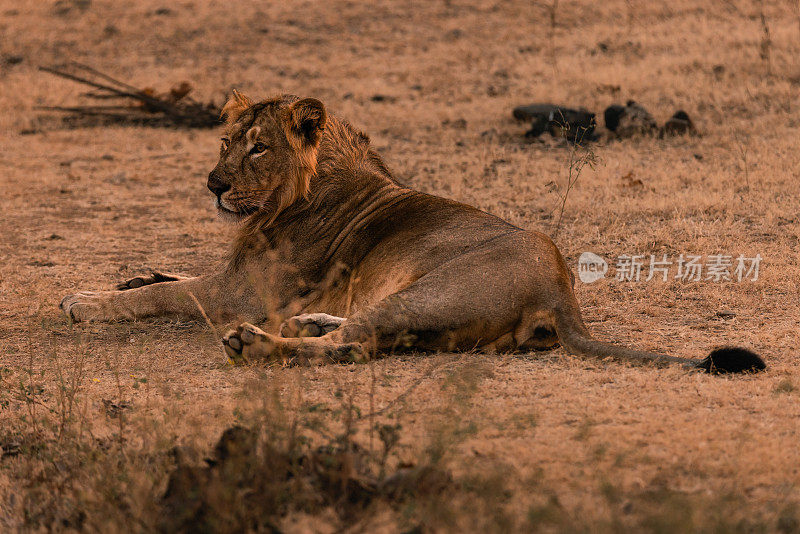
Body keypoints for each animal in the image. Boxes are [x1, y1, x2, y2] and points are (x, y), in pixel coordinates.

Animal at [61, 92, 764, 374]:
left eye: (258, 148)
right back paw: (313, 321)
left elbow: (164, 295)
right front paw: (132, 275)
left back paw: (256, 345)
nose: (211, 184)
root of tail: (562, 293)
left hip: (428, 292)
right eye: (226, 143)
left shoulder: (241, 292)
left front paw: (84, 301)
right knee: (358, 332)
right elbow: (169, 277)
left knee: (351, 348)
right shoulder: (231, 277)